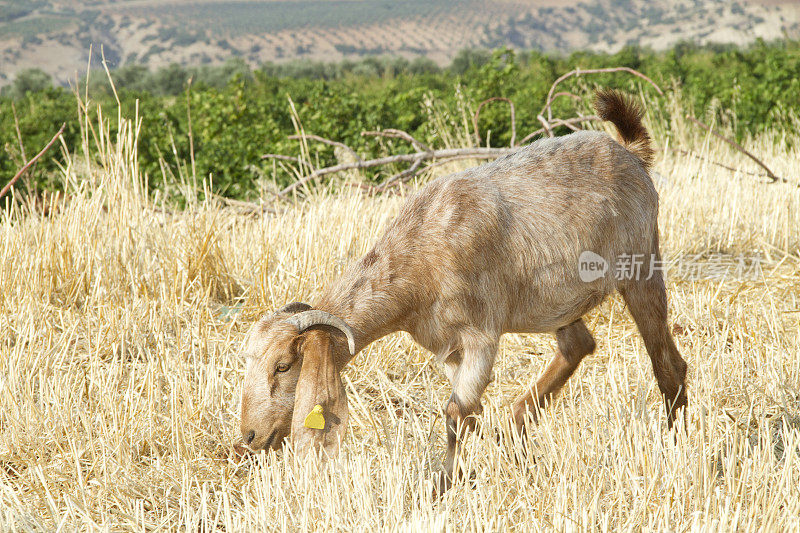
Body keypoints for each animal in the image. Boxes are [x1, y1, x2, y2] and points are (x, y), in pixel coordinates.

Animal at [239, 88, 688, 490]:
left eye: (284, 365)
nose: (249, 437)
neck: (419, 254)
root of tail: (630, 152)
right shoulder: (449, 348)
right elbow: (468, 413)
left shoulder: (480, 337)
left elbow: (455, 413)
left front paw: (443, 483)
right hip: (559, 303)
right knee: (577, 344)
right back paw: (515, 430)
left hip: (641, 267)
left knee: (667, 362)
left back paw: (675, 444)